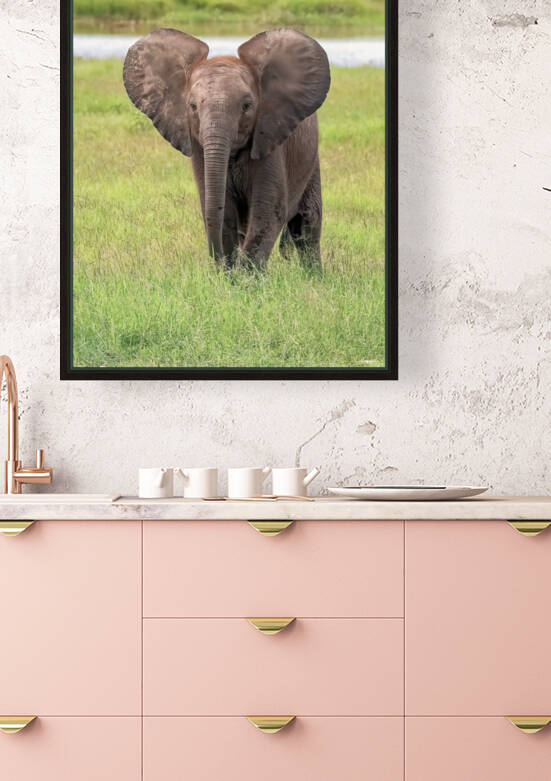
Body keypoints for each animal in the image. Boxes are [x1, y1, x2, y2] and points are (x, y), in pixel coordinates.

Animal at [123, 28, 330, 269]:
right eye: (192, 106)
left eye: (247, 106)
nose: (217, 259)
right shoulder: (198, 146)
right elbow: (222, 212)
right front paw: (228, 275)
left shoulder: (269, 139)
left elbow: (268, 212)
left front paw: (245, 277)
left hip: (311, 162)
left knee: (307, 225)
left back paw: (313, 275)